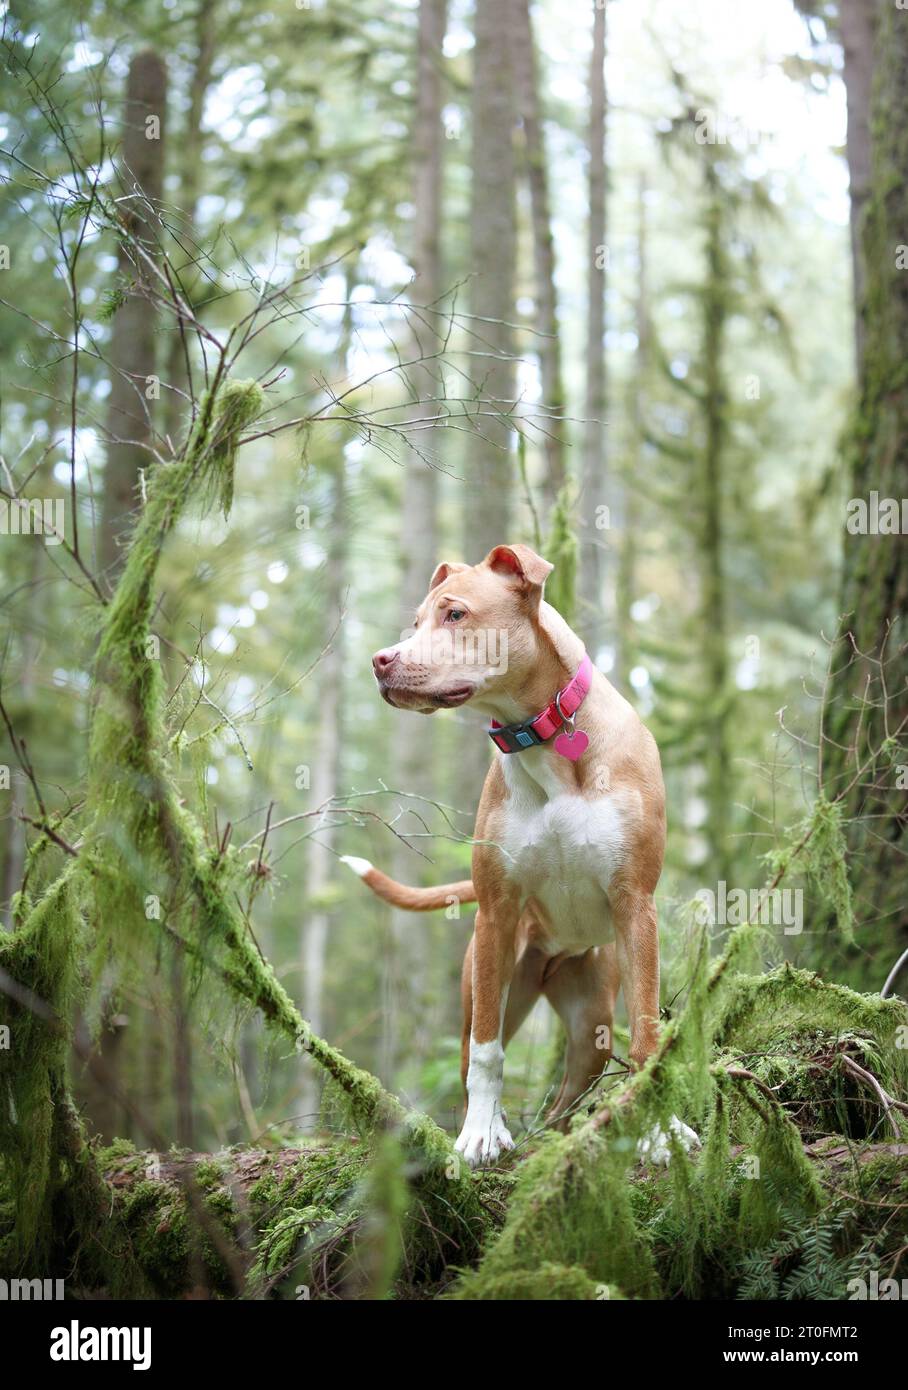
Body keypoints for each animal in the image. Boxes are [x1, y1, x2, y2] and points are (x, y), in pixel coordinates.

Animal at [343, 542, 698, 1162]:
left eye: (455, 615)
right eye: (417, 621)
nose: (381, 661)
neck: (548, 736)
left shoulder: (636, 905)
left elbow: (648, 1035)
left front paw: (662, 1131)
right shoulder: (497, 911)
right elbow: (487, 1056)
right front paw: (480, 1135)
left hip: (590, 1019)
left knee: (570, 1091)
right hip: (498, 977)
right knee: (474, 1054)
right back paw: (498, 1129)